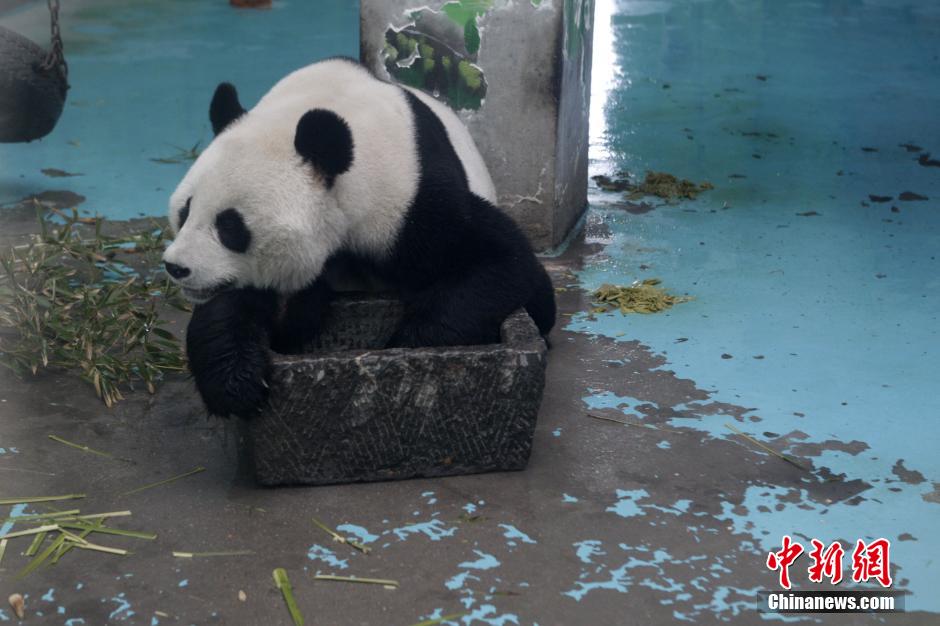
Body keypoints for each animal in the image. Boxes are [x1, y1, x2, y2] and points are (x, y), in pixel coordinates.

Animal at [162, 58, 556, 416]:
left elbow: (503, 261)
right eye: (185, 211)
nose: (175, 267)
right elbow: (236, 307)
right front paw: (237, 382)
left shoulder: (414, 201)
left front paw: (404, 352)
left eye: (230, 226)